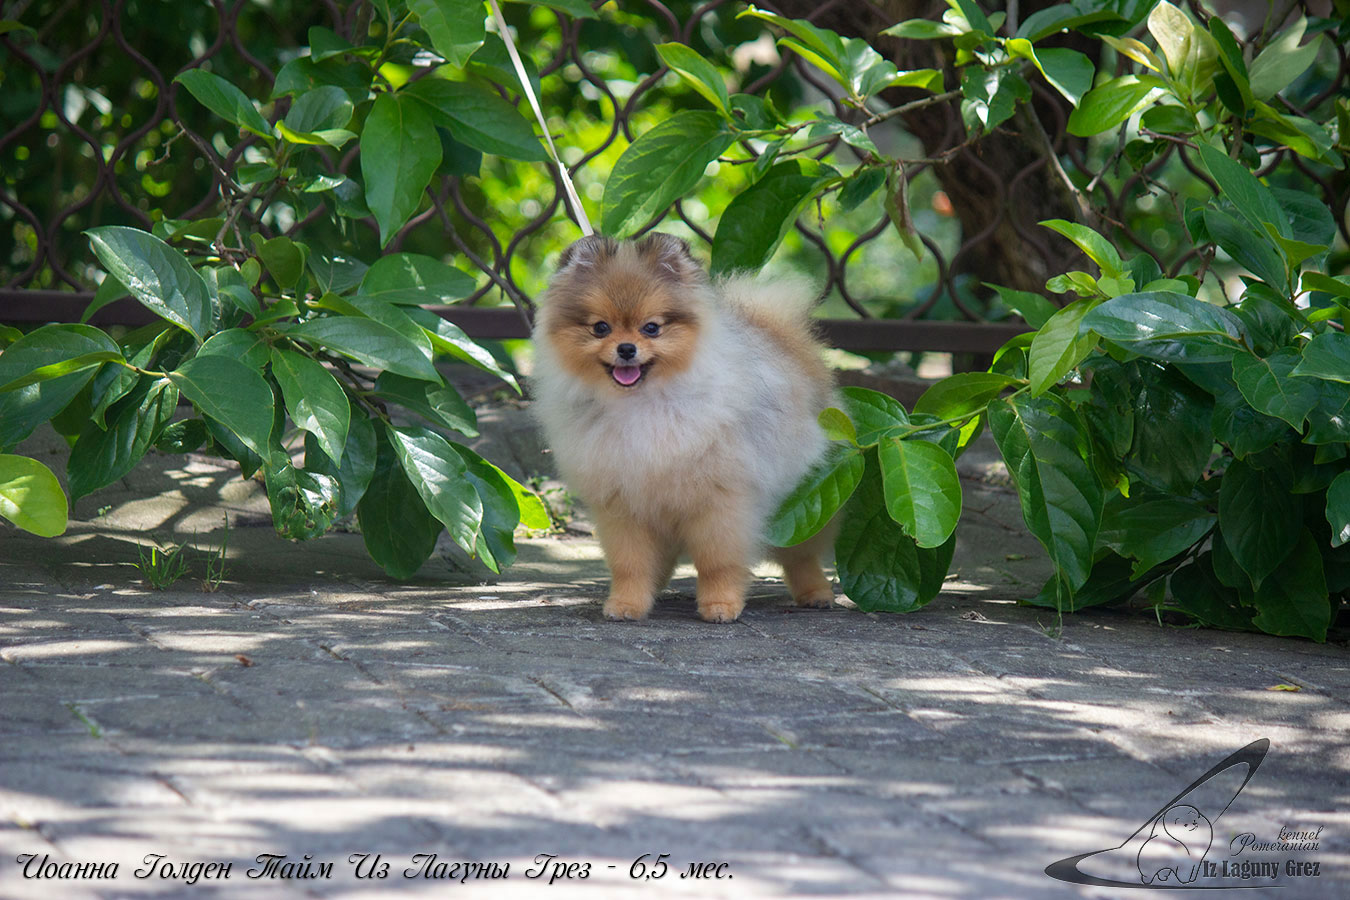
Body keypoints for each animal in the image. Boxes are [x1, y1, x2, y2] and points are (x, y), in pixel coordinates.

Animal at [531, 232, 837, 623]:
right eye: (601, 328)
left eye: (652, 327)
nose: (626, 348)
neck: (641, 403)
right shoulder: (623, 506)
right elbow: (630, 564)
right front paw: (627, 603)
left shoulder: (720, 503)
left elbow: (717, 562)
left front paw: (720, 605)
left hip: (804, 504)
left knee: (801, 557)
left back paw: (816, 593)